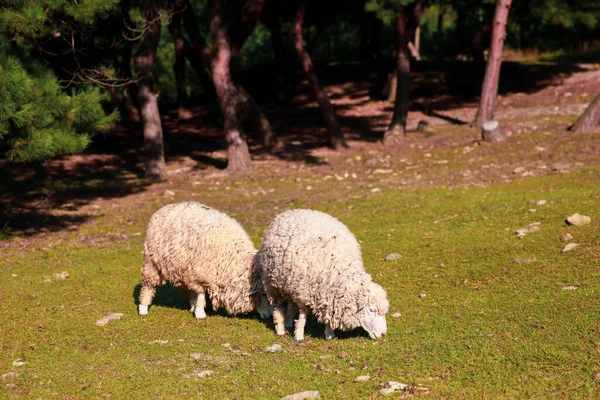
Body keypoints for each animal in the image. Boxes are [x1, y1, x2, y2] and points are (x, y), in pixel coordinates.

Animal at [138, 202, 272, 320]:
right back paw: (143, 309)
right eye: (263, 294)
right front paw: (200, 314)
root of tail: (163, 208)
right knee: (147, 287)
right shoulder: (201, 275)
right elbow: (201, 295)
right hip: (151, 263)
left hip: (185, 270)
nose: (269, 316)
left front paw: (197, 309)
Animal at [258, 209, 390, 340]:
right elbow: (302, 317)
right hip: (274, 282)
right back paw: (280, 328)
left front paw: (329, 334)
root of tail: (290, 211)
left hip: (290, 282)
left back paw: (289, 321)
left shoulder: (328, 298)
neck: (338, 270)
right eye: (372, 310)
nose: (383, 333)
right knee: (279, 307)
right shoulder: (304, 293)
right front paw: (299, 335)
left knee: (291, 303)